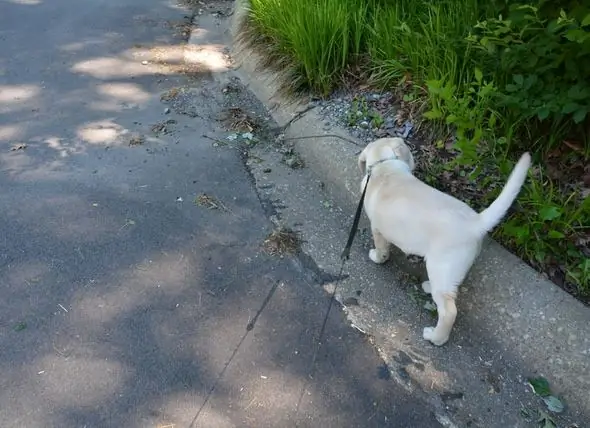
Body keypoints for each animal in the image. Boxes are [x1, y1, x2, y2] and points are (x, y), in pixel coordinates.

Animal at [358, 139, 536, 346]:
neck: (385, 166)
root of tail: (476, 222)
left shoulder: (377, 229)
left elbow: (381, 247)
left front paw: (377, 257)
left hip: (440, 265)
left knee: (449, 311)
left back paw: (436, 337)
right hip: (449, 270)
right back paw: (429, 287)